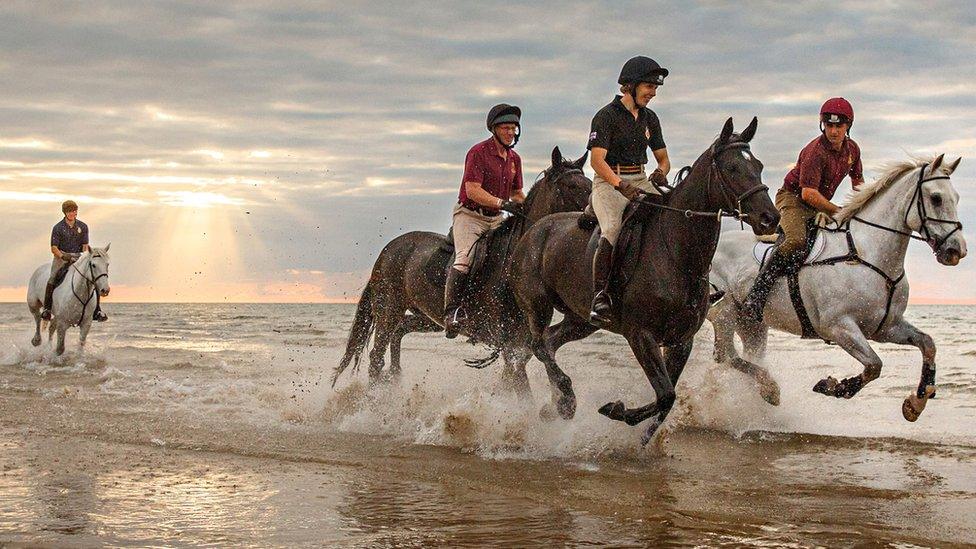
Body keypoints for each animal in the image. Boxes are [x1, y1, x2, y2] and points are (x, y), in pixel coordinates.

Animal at [336, 147, 592, 390]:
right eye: (571, 186)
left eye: (590, 183)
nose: (591, 217)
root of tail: (387, 250)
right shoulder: (510, 343)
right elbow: (520, 384)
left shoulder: (522, 344)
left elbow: (516, 378)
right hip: (389, 310)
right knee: (376, 356)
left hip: (427, 317)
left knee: (399, 332)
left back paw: (395, 379)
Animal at [510, 117, 776, 438]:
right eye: (733, 168)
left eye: (759, 165)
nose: (770, 218)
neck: (676, 254)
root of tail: (534, 228)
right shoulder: (641, 335)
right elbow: (665, 395)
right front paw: (615, 410)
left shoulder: (681, 340)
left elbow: (666, 401)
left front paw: (639, 435)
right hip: (537, 304)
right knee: (538, 345)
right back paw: (566, 402)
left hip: (581, 319)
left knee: (549, 343)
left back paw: (554, 405)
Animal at [708, 154, 968, 420]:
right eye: (936, 198)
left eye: (957, 198)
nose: (955, 251)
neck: (868, 255)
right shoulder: (839, 327)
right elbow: (874, 365)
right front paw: (833, 386)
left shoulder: (886, 327)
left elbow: (927, 344)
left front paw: (916, 403)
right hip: (725, 313)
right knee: (725, 354)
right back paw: (769, 388)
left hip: (753, 324)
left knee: (746, 354)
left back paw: (764, 392)